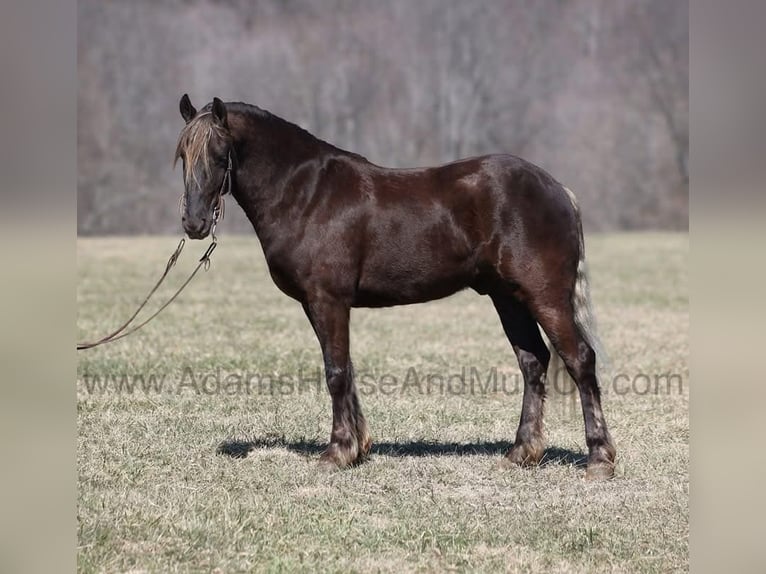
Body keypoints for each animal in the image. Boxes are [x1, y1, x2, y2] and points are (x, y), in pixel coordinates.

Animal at [175, 95, 616, 480]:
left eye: (219, 155)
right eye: (182, 156)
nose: (194, 224)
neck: (306, 194)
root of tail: (557, 189)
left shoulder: (328, 300)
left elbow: (336, 371)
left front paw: (337, 452)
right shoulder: (317, 304)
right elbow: (345, 368)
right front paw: (358, 447)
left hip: (545, 296)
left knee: (580, 359)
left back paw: (599, 459)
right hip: (508, 298)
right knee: (533, 362)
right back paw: (522, 452)